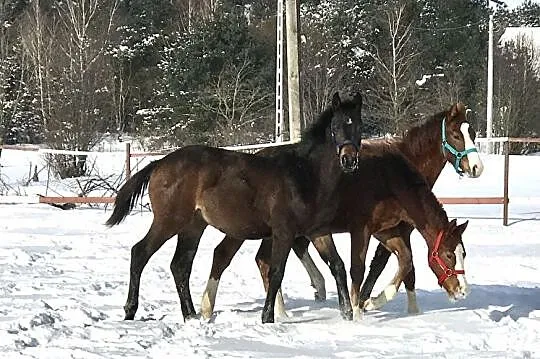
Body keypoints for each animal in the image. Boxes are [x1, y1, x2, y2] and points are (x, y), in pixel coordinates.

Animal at [200, 101, 484, 318]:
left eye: (472, 133)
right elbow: (368, 268)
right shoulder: (366, 229)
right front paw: (362, 307)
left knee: (264, 259)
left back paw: (284, 309)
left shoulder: (389, 231)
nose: (463, 291)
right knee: (228, 256)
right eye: (457, 135)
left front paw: (383, 305)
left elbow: (405, 264)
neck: (391, 176)